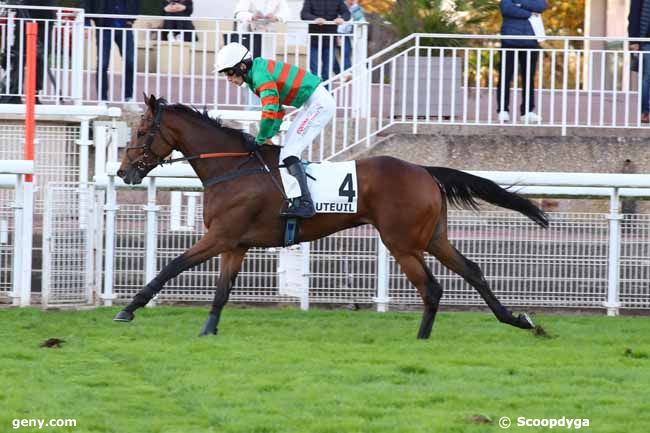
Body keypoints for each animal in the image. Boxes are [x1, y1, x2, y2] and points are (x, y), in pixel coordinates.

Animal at [112, 93, 548, 338]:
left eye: (141, 133)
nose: (123, 172)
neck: (232, 166)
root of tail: (425, 171)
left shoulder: (220, 237)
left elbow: (171, 266)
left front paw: (128, 309)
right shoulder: (236, 244)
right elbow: (221, 291)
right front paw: (208, 331)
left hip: (402, 242)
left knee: (432, 288)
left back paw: (422, 338)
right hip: (433, 237)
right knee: (472, 270)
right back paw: (520, 321)